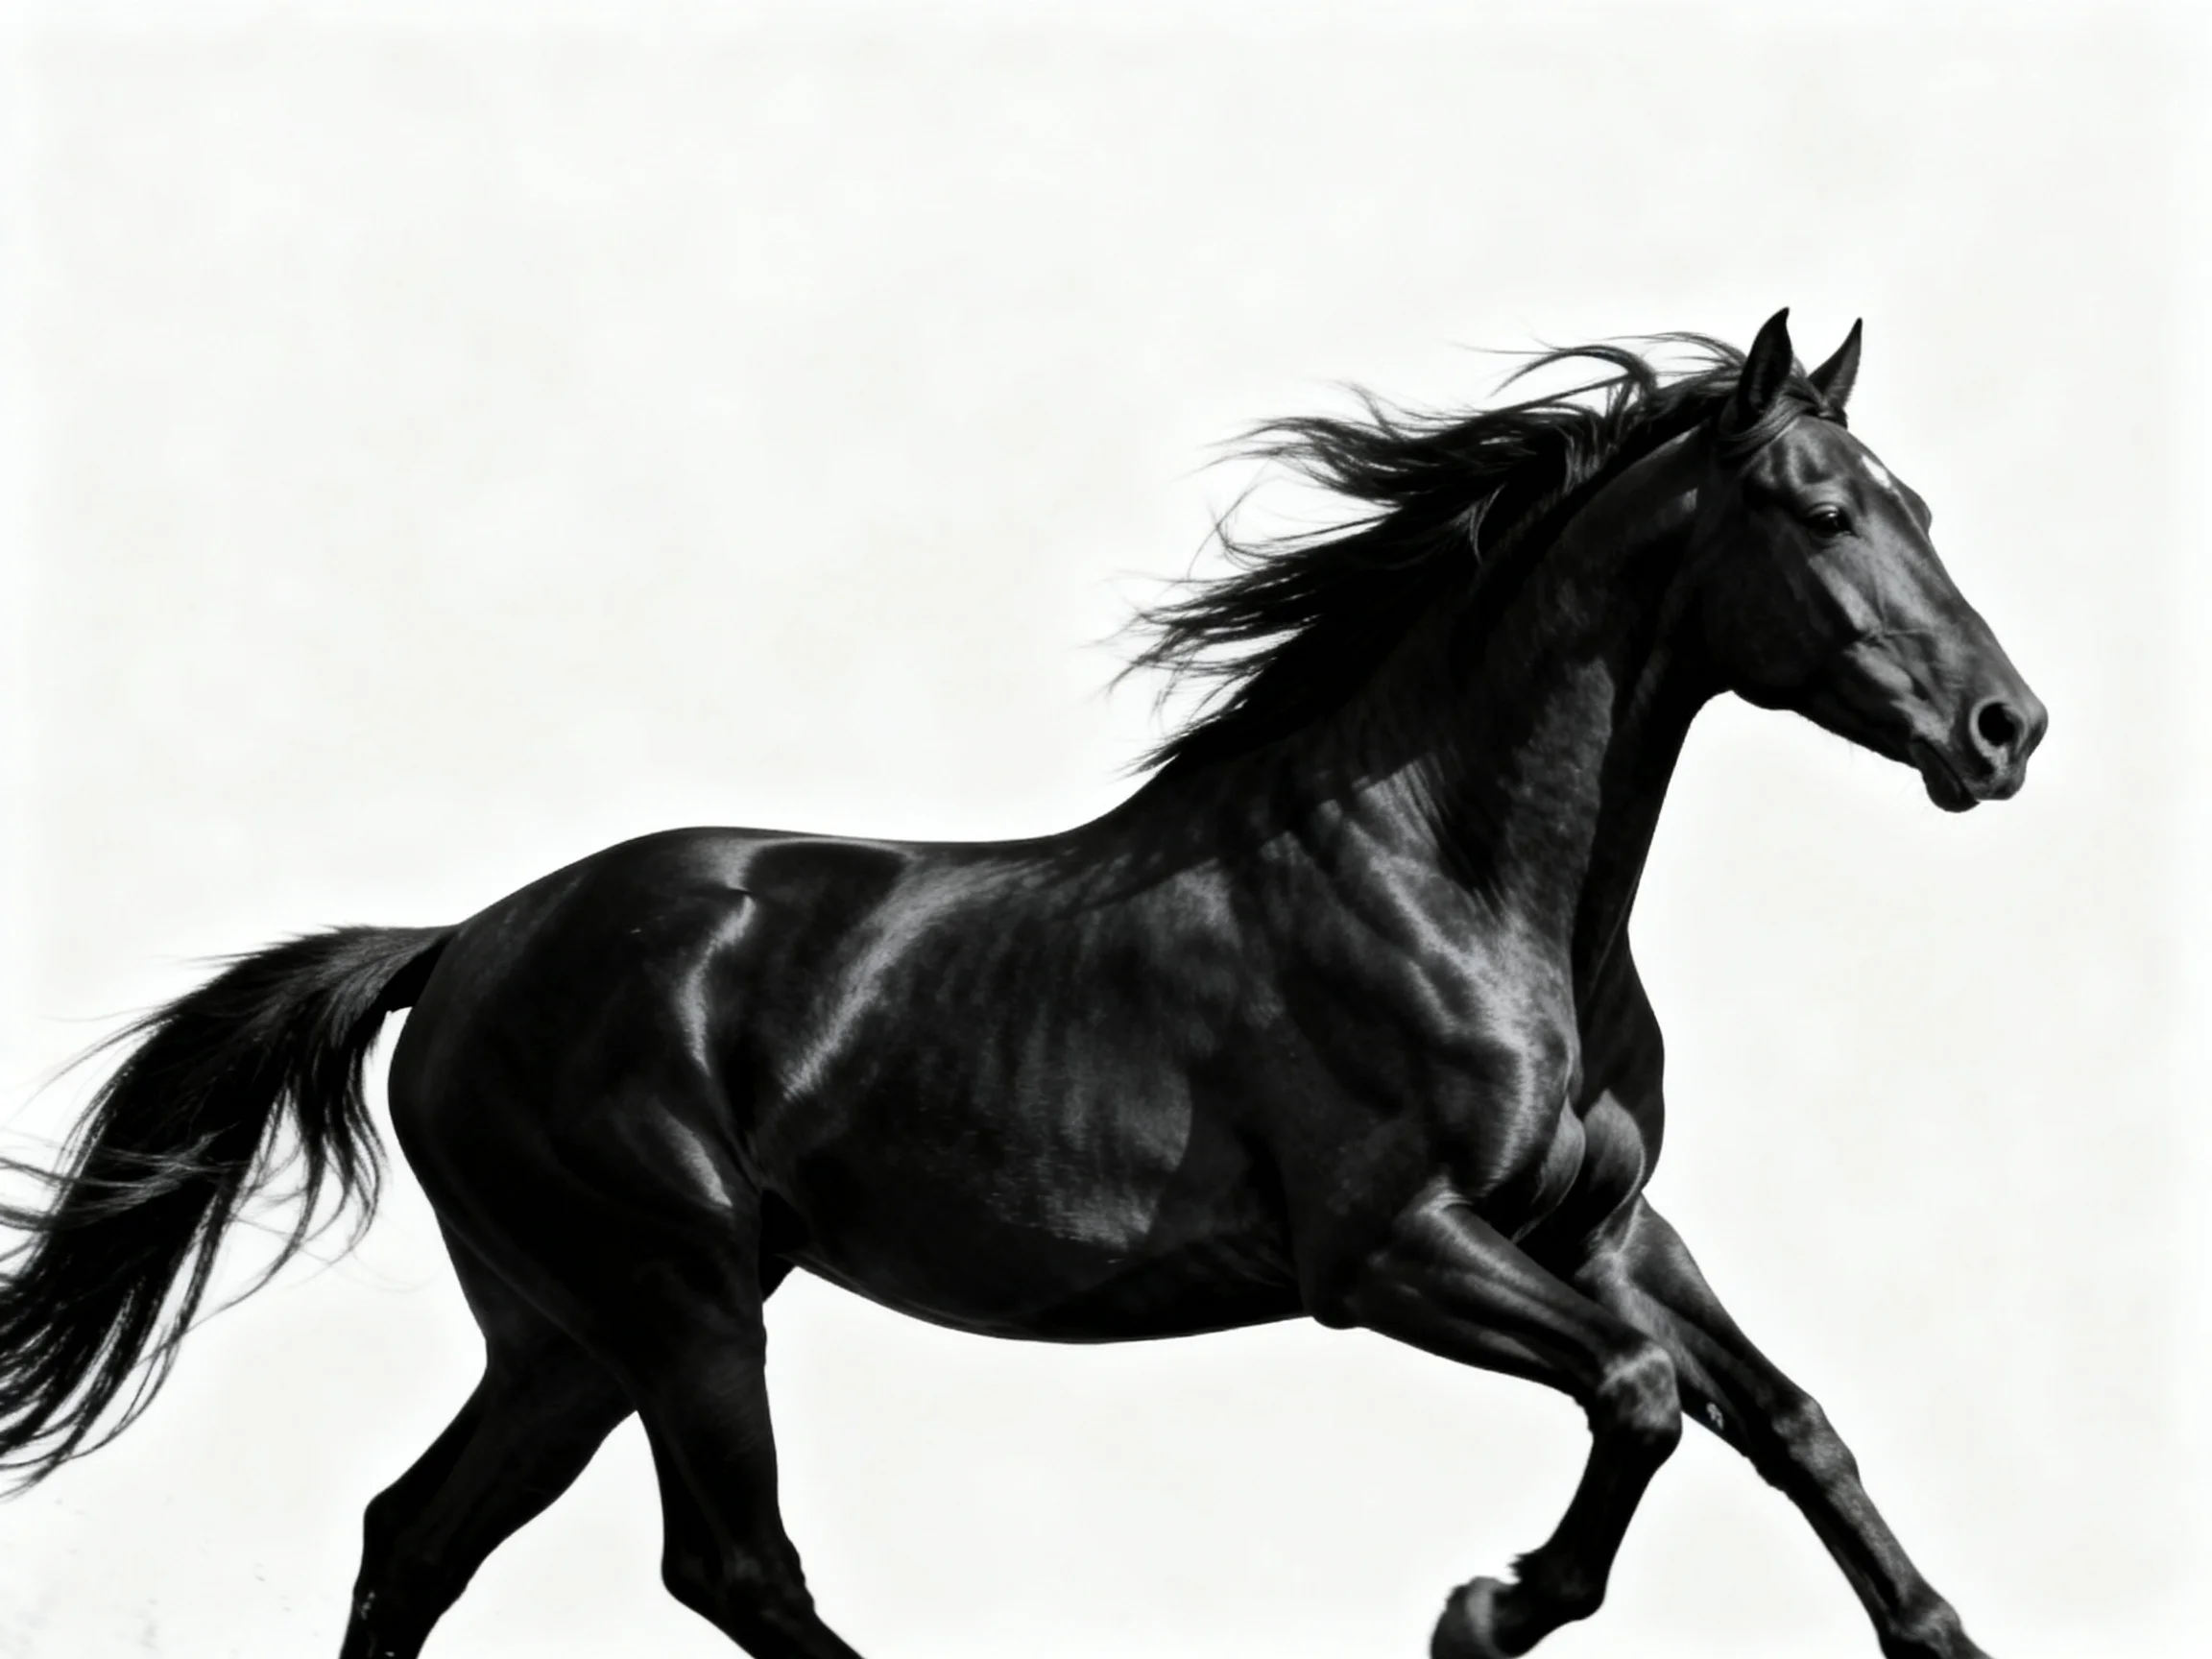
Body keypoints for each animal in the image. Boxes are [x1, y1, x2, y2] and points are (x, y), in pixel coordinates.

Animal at [0, 310, 2043, 1659]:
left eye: (1919, 503)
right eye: (1810, 508)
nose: (2000, 728)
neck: (1455, 883)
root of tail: (459, 947)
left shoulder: (1599, 1225)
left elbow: (1783, 1418)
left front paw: (1935, 1631)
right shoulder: (1383, 1250)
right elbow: (1632, 1398)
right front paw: (1482, 1605)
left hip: (565, 1328)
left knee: (418, 1534)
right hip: (670, 1294)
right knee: (724, 1566)